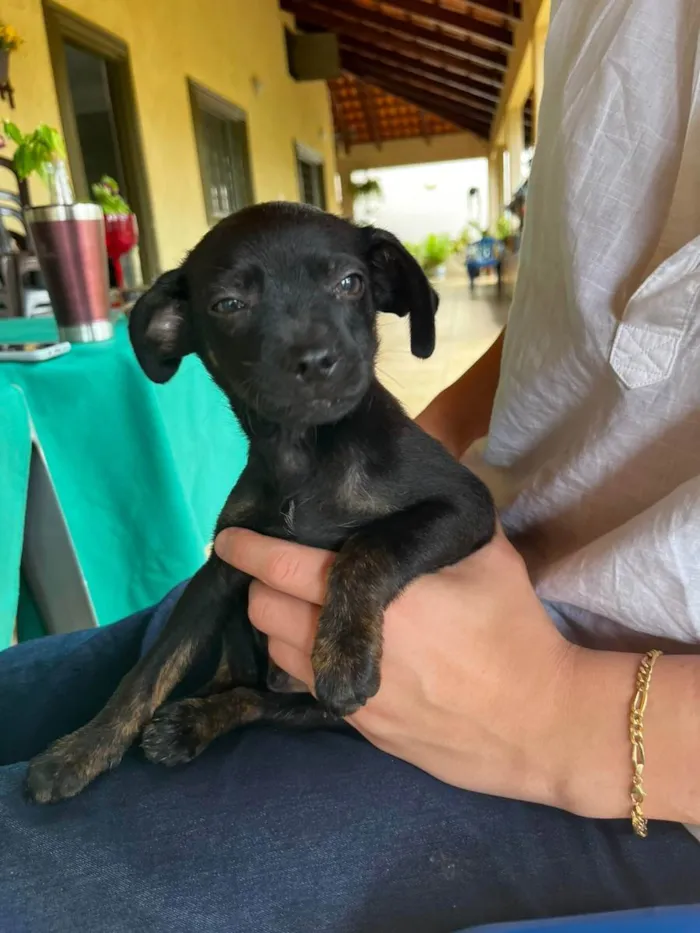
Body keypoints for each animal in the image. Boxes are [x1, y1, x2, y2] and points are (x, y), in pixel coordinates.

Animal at [27, 202, 494, 800]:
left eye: (351, 283)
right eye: (229, 304)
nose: (316, 360)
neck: (303, 460)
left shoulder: (465, 505)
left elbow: (371, 545)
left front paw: (343, 655)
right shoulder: (222, 565)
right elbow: (148, 670)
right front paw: (82, 749)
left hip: (323, 713)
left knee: (262, 702)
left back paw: (199, 718)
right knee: (241, 685)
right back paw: (190, 721)